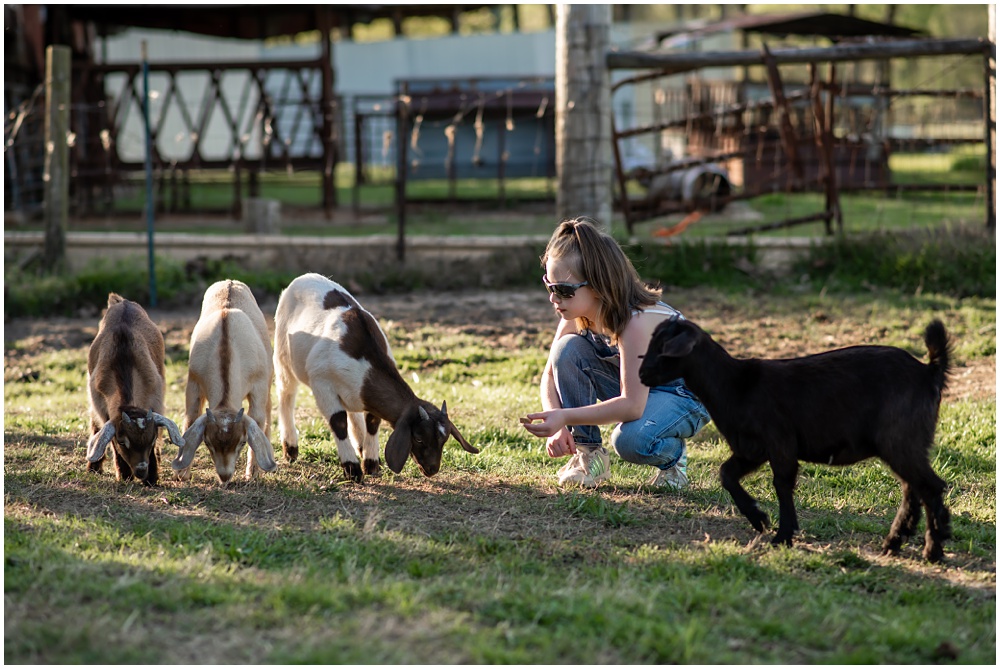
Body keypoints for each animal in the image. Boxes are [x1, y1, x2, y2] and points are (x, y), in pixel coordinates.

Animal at [170, 280, 276, 482]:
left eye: (242, 442)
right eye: (207, 442)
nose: (225, 476)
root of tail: (230, 281)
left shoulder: (258, 385)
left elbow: (258, 418)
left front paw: (253, 473)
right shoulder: (193, 382)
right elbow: (190, 416)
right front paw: (182, 474)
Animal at [272, 272, 478, 480]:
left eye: (444, 440)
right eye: (419, 438)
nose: (432, 469)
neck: (367, 364)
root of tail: (304, 277)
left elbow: (373, 422)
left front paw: (371, 463)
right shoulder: (322, 383)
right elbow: (338, 421)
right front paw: (352, 469)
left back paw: (360, 444)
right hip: (282, 354)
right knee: (286, 394)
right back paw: (291, 447)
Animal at [640, 316, 952, 560]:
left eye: (663, 348)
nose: (642, 375)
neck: (736, 386)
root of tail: (929, 371)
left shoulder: (780, 442)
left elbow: (781, 484)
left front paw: (782, 535)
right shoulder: (752, 449)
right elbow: (726, 473)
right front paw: (759, 518)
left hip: (900, 438)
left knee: (931, 487)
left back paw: (933, 551)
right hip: (905, 443)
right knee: (913, 489)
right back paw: (894, 544)